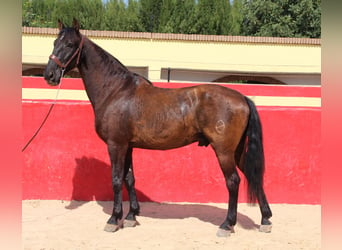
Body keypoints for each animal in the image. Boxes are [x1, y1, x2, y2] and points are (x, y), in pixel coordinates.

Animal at [44, 19, 272, 236]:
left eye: (70, 44)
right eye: (54, 42)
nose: (49, 75)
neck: (116, 91)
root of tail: (241, 97)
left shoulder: (116, 145)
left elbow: (116, 179)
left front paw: (114, 219)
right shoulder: (128, 146)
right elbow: (129, 178)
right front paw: (131, 216)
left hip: (224, 151)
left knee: (233, 182)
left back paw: (227, 225)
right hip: (237, 151)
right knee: (253, 176)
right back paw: (265, 220)